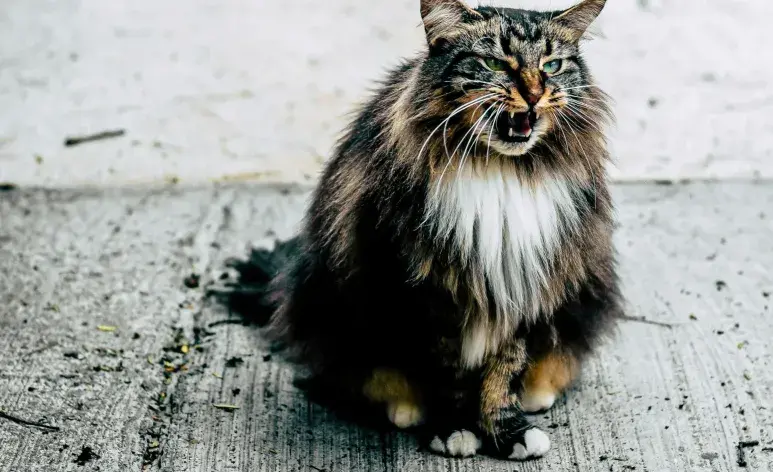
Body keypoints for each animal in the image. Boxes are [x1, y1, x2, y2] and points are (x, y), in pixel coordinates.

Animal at [217, 0, 620, 460]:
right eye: (495, 63)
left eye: (552, 66)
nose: (535, 93)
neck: (500, 170)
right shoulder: (426, 291)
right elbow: (449, 375)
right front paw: (456, 429)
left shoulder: (522, 282)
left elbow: (504, 372)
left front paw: (509, 431)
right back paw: (406, 409)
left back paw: (536, 395)